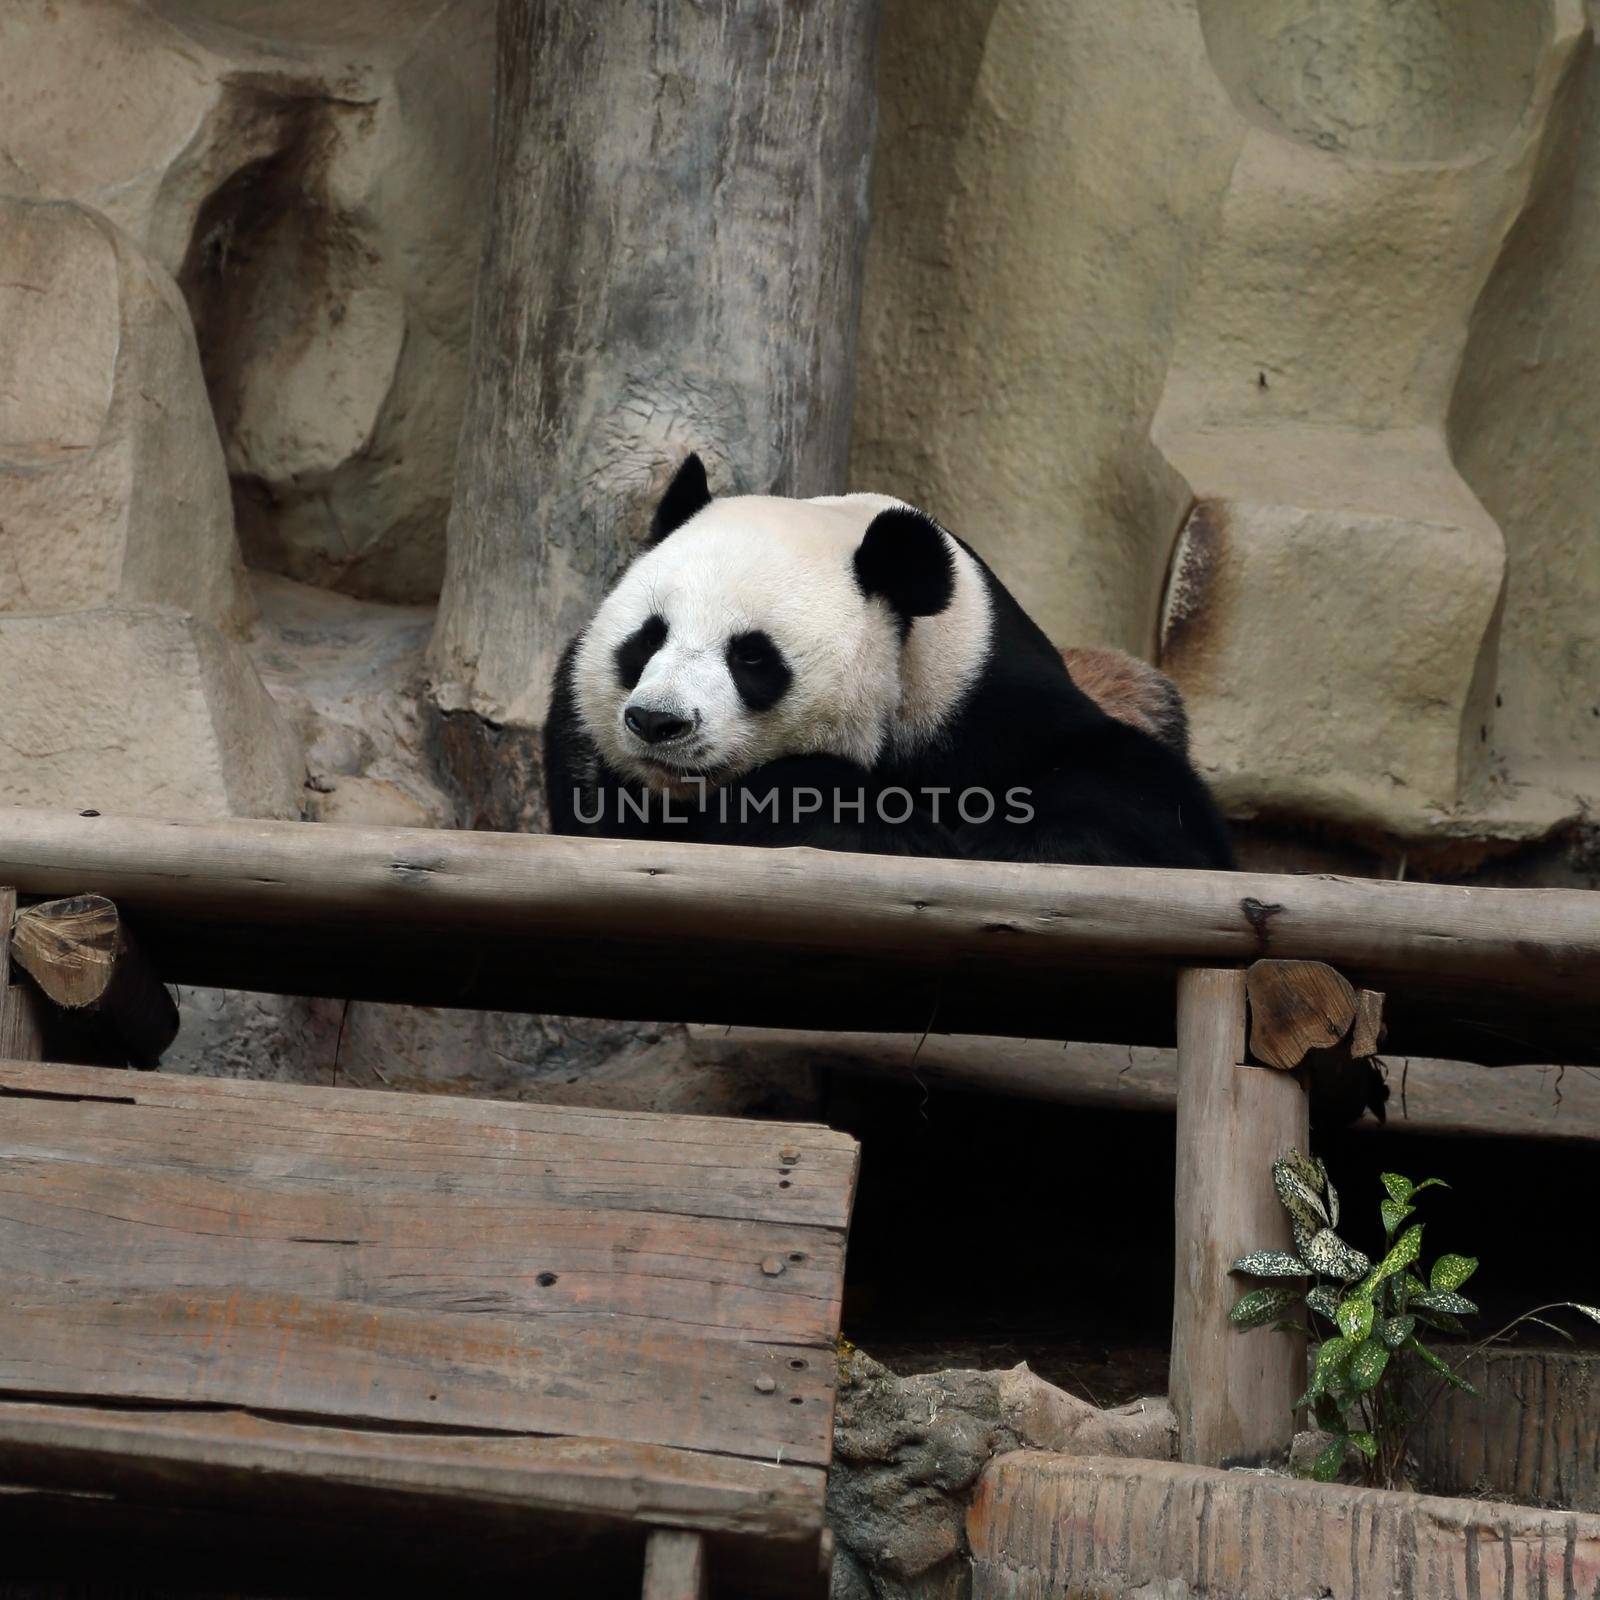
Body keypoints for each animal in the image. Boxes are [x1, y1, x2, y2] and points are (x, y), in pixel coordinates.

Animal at [544, 457, 1228, 870]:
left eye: (751, 655)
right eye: (646, 639)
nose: (658, 723)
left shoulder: (984, 698)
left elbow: (1149, 807)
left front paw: (999, 837)